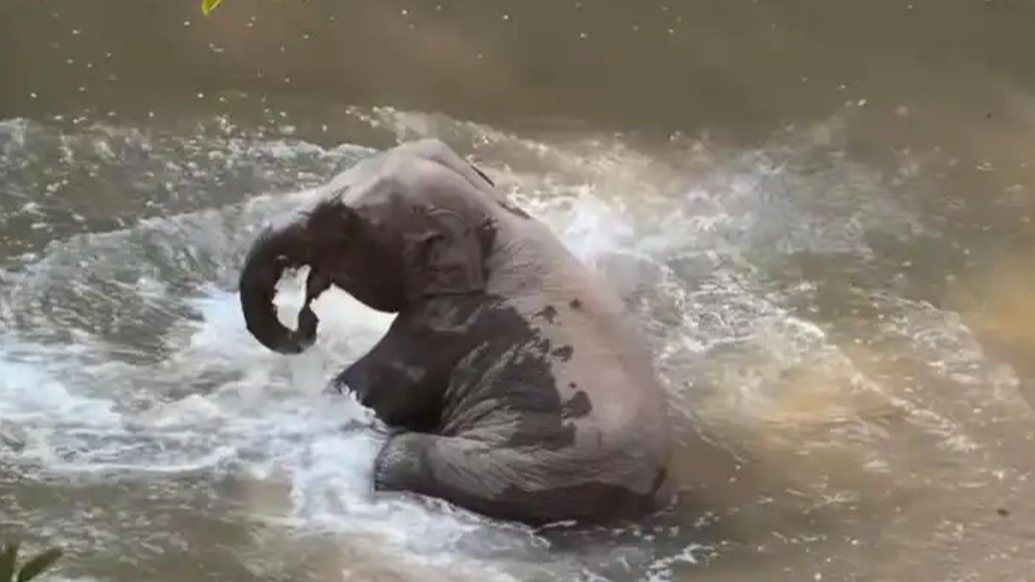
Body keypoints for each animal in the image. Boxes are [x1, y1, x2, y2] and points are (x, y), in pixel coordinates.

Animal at [237, 138, 675, 526]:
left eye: (343, 223)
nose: (308, 324)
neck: (495, 218)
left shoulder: (445, 325)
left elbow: (360, 391)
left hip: (516, 471)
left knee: (399, 456)